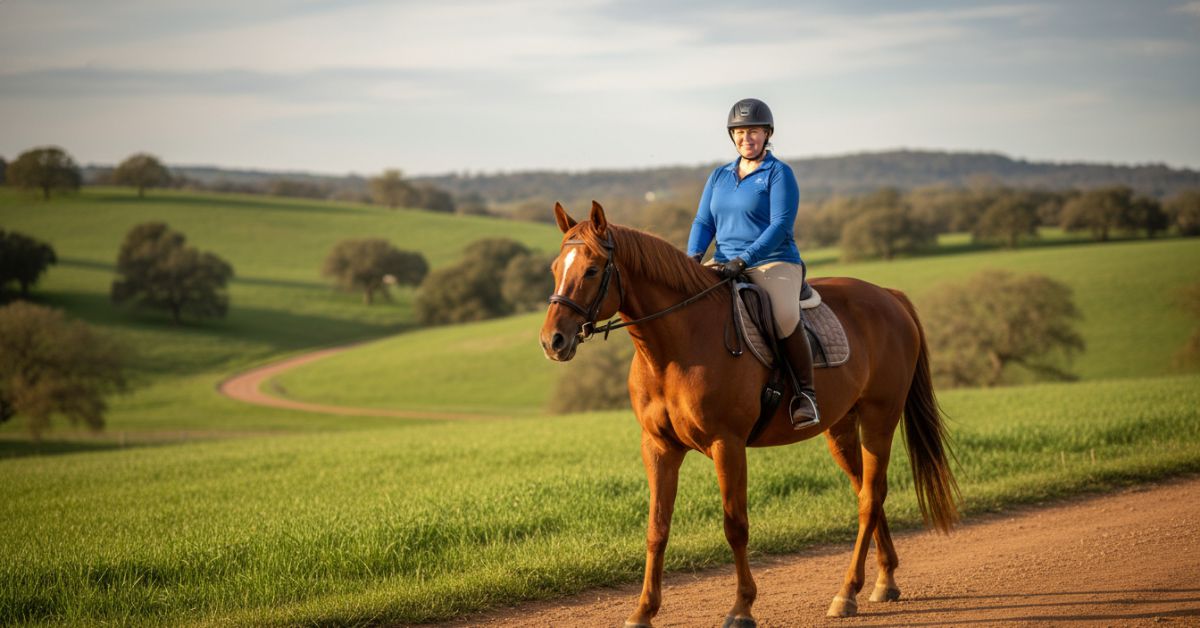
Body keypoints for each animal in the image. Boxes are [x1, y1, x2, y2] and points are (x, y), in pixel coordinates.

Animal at [539, 202, 960, 627]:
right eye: (557, 267)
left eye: (592, 270)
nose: (552, 341)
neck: (676, 346)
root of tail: (888, 296)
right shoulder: (658, 447)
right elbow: (657, 528)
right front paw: (643, 610)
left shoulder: (727, 444)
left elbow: (735, 525)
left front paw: (742, 607)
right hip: (841, 426)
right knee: (866, 493)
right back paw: (884, 580)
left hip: (879, 418)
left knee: (871, 497)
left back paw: (846, 592)